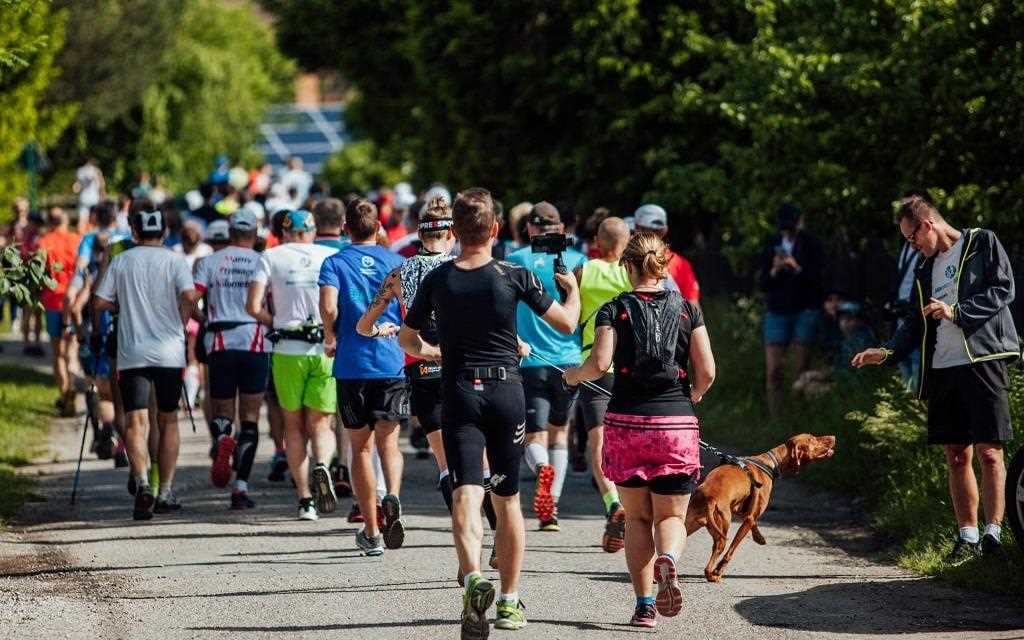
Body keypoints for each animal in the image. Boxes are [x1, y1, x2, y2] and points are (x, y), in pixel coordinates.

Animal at [684, 432, 835, 581]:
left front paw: (759, 538)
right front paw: (719, 570)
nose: (833, 437)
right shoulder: (749, 518)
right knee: (717, 553)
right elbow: (731, 551)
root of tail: (710, 499)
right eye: (812, 439)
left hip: (690, 524)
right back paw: (712, 575)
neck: (771, 463)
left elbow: (753, 523)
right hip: (722, 530)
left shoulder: (745, 513)